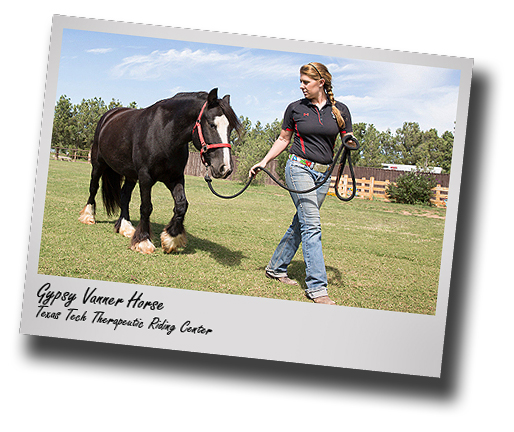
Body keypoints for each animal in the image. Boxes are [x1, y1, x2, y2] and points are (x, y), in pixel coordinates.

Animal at [78, 89, 242, 255]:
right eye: (211, 124)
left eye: (230, 129)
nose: (225, 168)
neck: (164, 134)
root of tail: (109, 115)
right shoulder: (145, 177)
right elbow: (146, 207)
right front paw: (143, 240)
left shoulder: (174, 178)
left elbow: (181, 205)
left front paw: (171, 239)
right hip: (98, 164)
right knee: (93, 188)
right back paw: (88, 216)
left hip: (130, 175)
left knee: (124, 196)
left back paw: (126, 227)